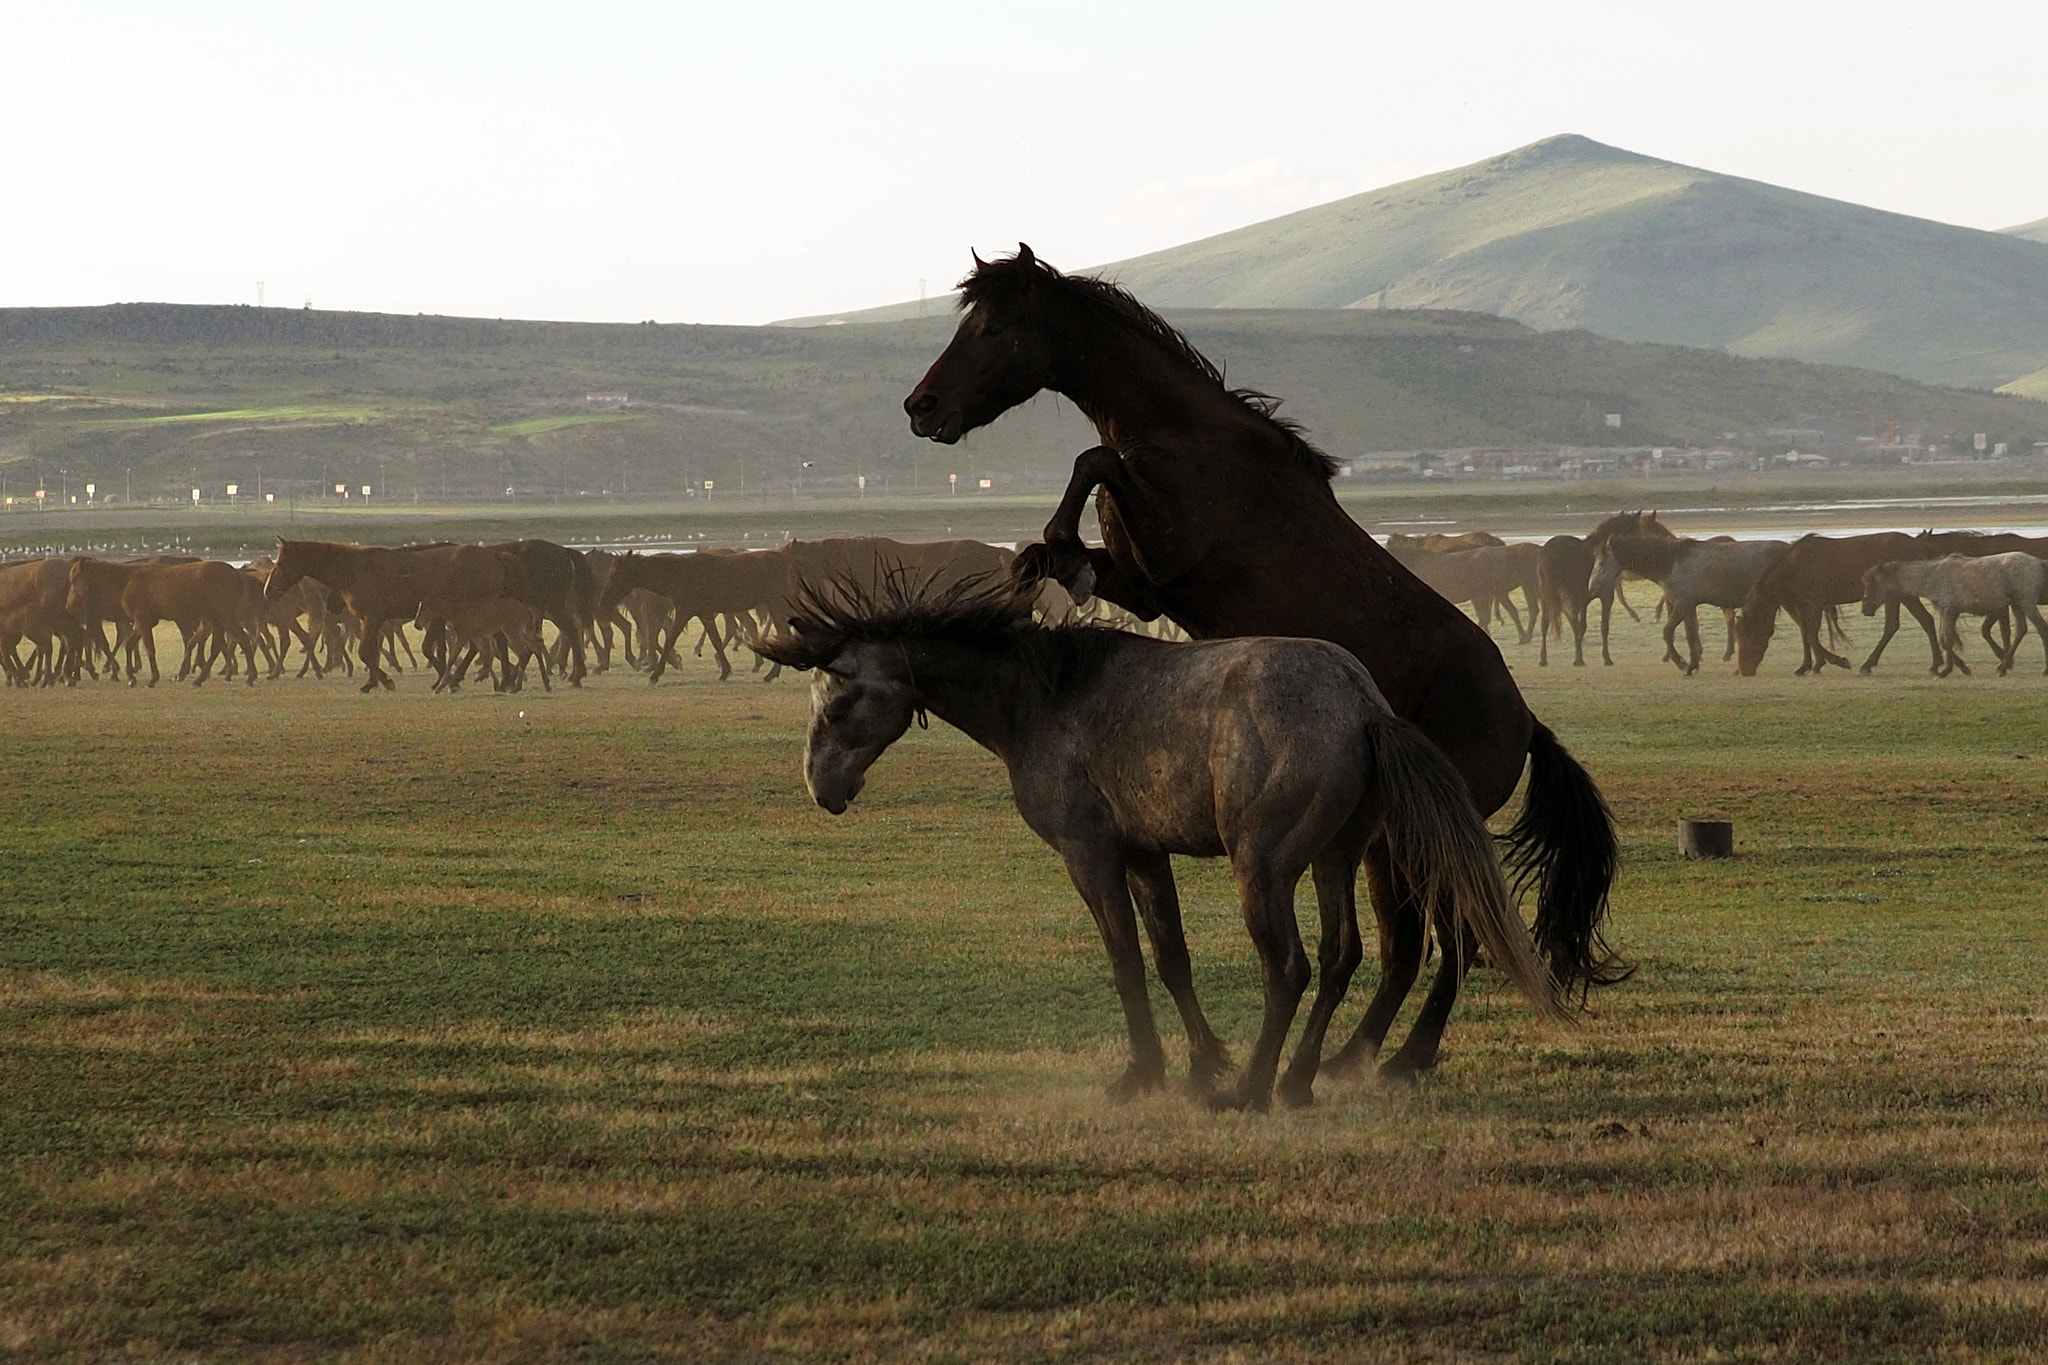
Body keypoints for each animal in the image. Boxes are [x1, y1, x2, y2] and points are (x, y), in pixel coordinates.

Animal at [758, 577, 1562, 1110]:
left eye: (839, 700)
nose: (822, 788)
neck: (1045, 697)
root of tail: (1362, 705)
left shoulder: (1090, 856)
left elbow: (1126, 962)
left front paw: (1146, 1073)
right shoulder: (1146, 855)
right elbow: (1172, 957)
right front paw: (1201, 1062)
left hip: (1263, 869)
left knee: (1291, 968)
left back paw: (1253, 1091)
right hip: (1337, 859)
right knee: (1341, 959)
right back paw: (1297, 1080)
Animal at [903, 246, 1620, 1082]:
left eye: (992, 326)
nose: (921, 407)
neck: (1184, 436)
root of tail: (1526, 721)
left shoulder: (1167, 549)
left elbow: (1092, 458)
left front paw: (1056, 540)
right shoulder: (1142, 582)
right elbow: (1080, 528)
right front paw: (1050, 560)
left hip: (1418, 840)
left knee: (1453, 941)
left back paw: (1399, 1058)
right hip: (1383, 840)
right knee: (1410, 948)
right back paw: (1348, 1058)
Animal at [1589, 537, 1788, 675]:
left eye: (1602, 562)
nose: (1592, 587)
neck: (1671, 562)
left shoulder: (1682, 604)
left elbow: (1668, 632)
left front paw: (1682, 663)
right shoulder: (1689, 607)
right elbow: (1691, 635)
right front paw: (1693, 665)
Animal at [1861, 554, 2048, 676]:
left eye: (1873, 584)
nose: (1865, 609)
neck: (1932, 575)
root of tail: (2038, 562)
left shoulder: (1948, 610)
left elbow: (1947, 640)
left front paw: (1945, 670)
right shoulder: (1947, 613)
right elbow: (1945, 639)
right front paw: (1958, 667)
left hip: (2026, 603)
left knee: (2041, 628)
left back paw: (2039, 669)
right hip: (2017, 605)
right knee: (2021, 630)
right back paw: (2003, 667)